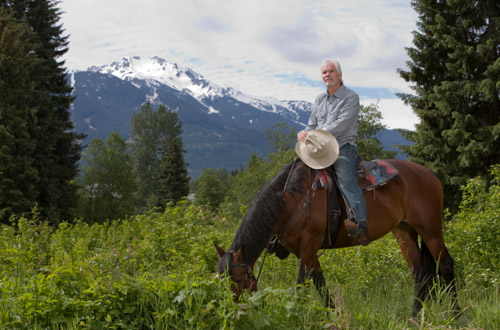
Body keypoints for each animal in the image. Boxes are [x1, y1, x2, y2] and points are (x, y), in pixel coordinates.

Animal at [214, 159, 458, 316]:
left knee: (445, 265)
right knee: (420, 272)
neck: (295, 198)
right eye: (219, 279)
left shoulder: (309, 244)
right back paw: (414, 316)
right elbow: (320, 284)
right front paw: (333, 316)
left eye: (237, 280)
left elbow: (301, 286)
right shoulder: (303, 250)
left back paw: (455, 314)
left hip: (430, 229)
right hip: (404, 231)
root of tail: (431, 175)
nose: (230, 310)